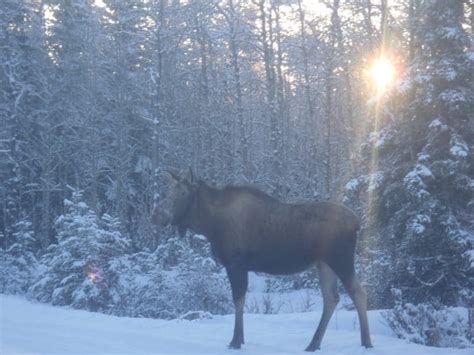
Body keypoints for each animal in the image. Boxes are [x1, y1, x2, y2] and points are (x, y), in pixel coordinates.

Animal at [153, 171, 374, 352]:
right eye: (168, 190)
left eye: (183, 193)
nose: (157, 214)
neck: (210, 224)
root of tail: (357, 223)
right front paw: (239, 339)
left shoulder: (236, 264)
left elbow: (238, 300)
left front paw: (236, 341)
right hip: (324, 264)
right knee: (331, 298)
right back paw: (313, 344)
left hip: (341, 259)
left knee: (359, 293)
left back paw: (366, 342)